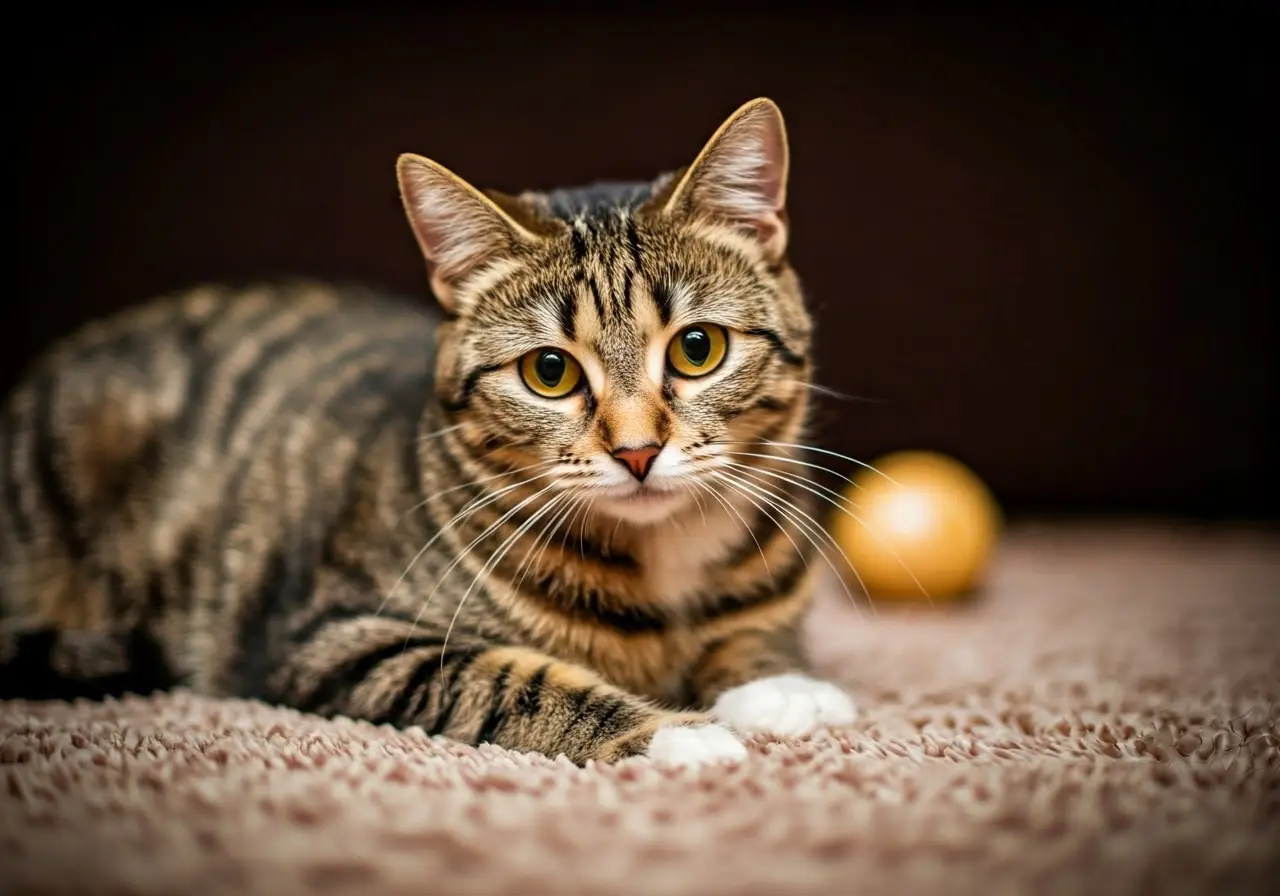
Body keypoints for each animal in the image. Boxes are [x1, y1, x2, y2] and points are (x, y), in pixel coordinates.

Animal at [2, 101, 860, 768]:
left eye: (698, 348)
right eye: (550, 371)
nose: (637, 451)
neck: (662, 563)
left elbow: (755, 638)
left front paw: (780, 688)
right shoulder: (336, 638)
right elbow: (515, 682)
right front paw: (676, 737)